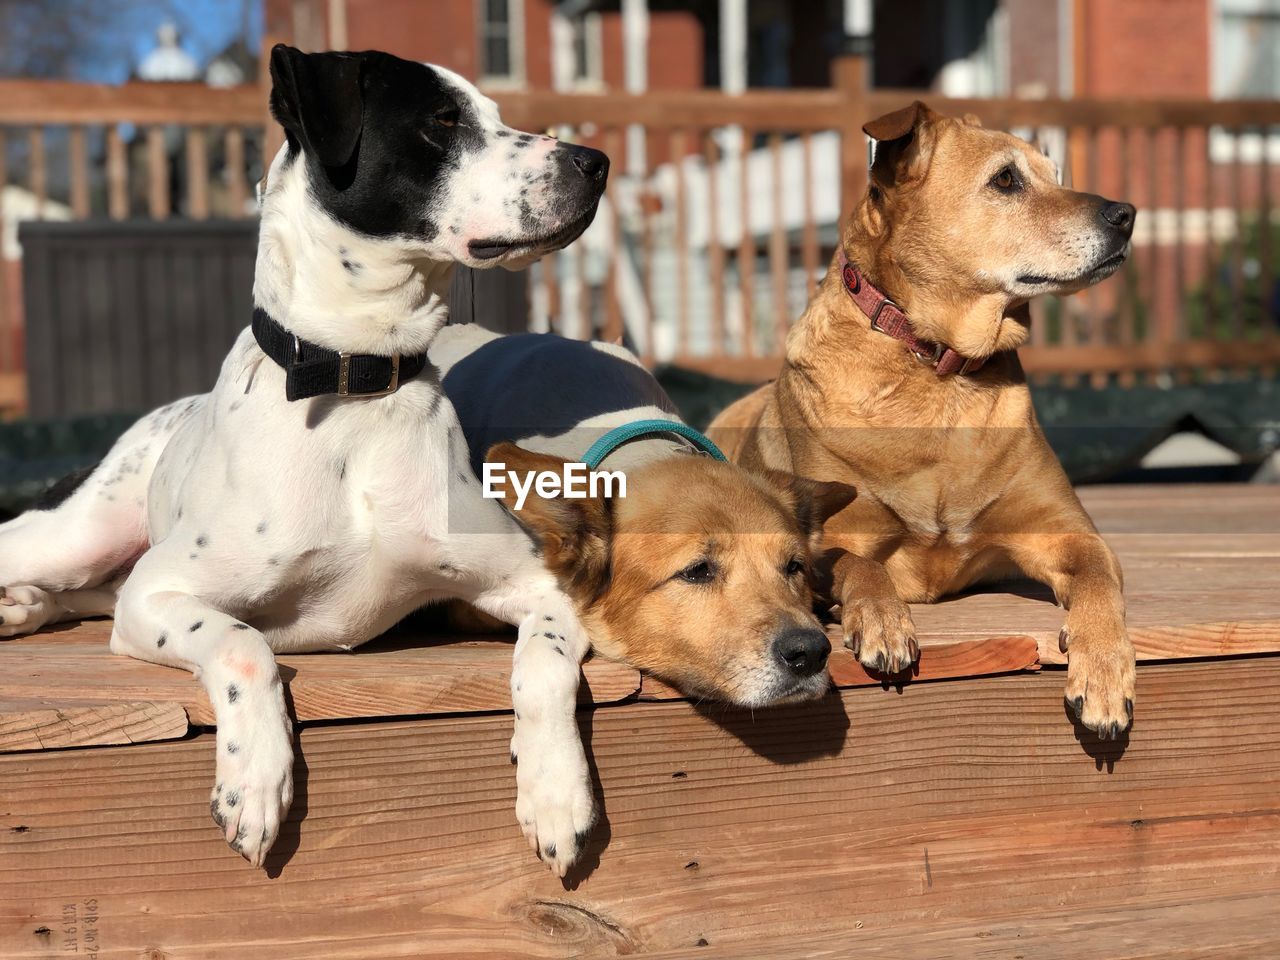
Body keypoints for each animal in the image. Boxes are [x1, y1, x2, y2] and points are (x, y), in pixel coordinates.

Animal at [0, 47, 606, 880]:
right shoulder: (157, 594)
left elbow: (544, 664)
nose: (597, 161)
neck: (355, 383)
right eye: (442, 120)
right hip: (76, 536)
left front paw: (556, 791)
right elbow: (243, 644)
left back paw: (21, 607)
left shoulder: (540, 585)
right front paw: (254, 778)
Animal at [711, 101, 1141, 742]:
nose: (1127, 214)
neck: (939, 372)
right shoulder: (827, 543)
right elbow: (861, 564)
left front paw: (1106, 670)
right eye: (1006, 180)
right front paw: (884, 619)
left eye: (1056, 174)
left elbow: (1097, 582)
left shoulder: (1069, 532)